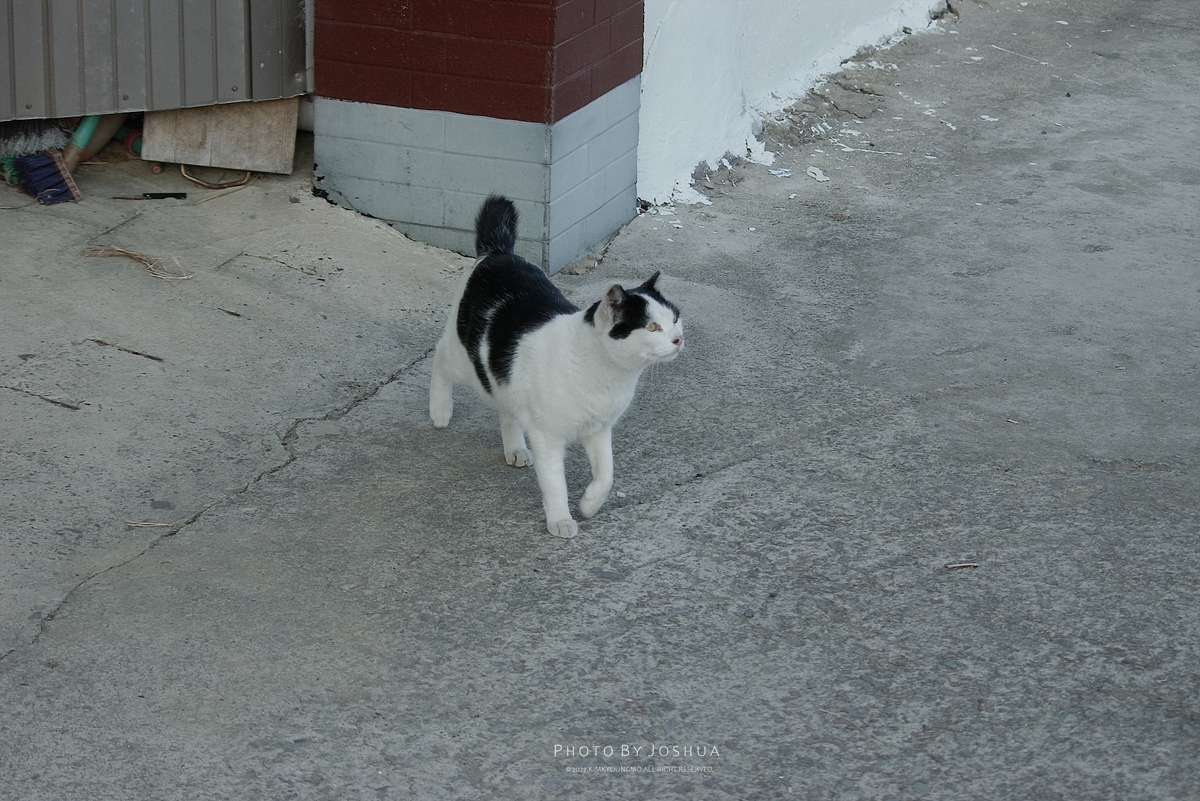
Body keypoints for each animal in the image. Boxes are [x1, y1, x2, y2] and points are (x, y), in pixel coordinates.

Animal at [429, 195, 684, 538]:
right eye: (652, 327)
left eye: (675, 318)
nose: (678, 339)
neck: (608, 376)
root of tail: (498, 253)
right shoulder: (547, 437)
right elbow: (554, 484)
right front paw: (561, 520)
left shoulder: (599, 429)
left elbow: (606, 475)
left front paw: (589, 504)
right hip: (462, 359)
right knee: (439, 359)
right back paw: (439, 411)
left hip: (504, 378)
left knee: (506, 407)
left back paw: (515, 448)